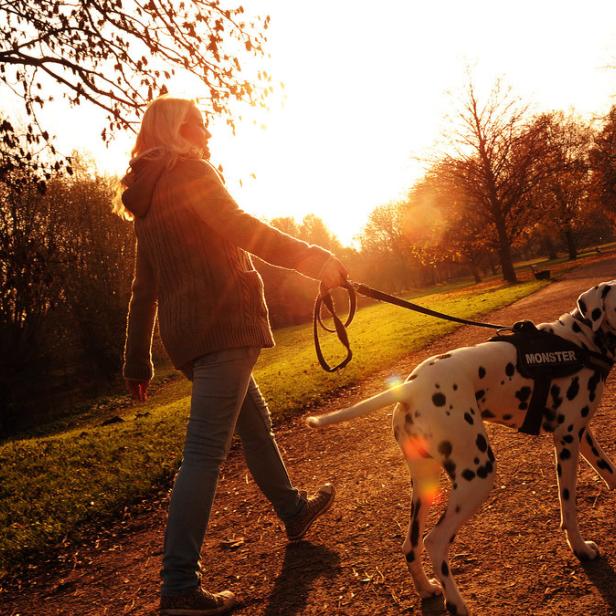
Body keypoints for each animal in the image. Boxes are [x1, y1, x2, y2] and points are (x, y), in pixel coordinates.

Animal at [308, 282, 616, 612]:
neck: (581, 340)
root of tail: (410, 387)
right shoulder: (567, 438)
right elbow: (568, 505)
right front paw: (581, 548)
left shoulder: (583, 435)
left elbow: (610, 471)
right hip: (478, 474)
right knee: (434, 541)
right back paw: (455, 602)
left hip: (424, 484)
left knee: (410, 544)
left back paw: (426, 589)